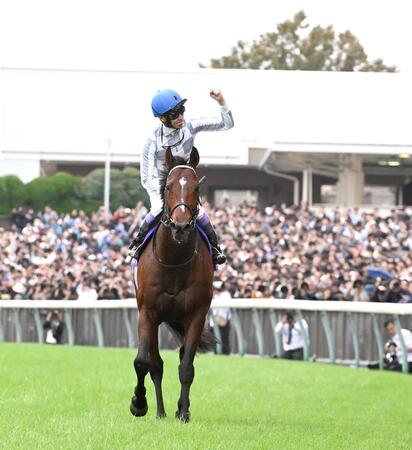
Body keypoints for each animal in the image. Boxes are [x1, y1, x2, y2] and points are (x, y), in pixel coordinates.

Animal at [130, 145, 216, 422]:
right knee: (155, 364)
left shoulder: (197, 313)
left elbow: (187, 365)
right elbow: (143, 362)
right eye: (168, 187)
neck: (175, 261)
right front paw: (138, 404)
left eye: (196, 188)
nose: (180, 226)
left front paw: (184, 412)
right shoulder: (147, 312)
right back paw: (159, 411)